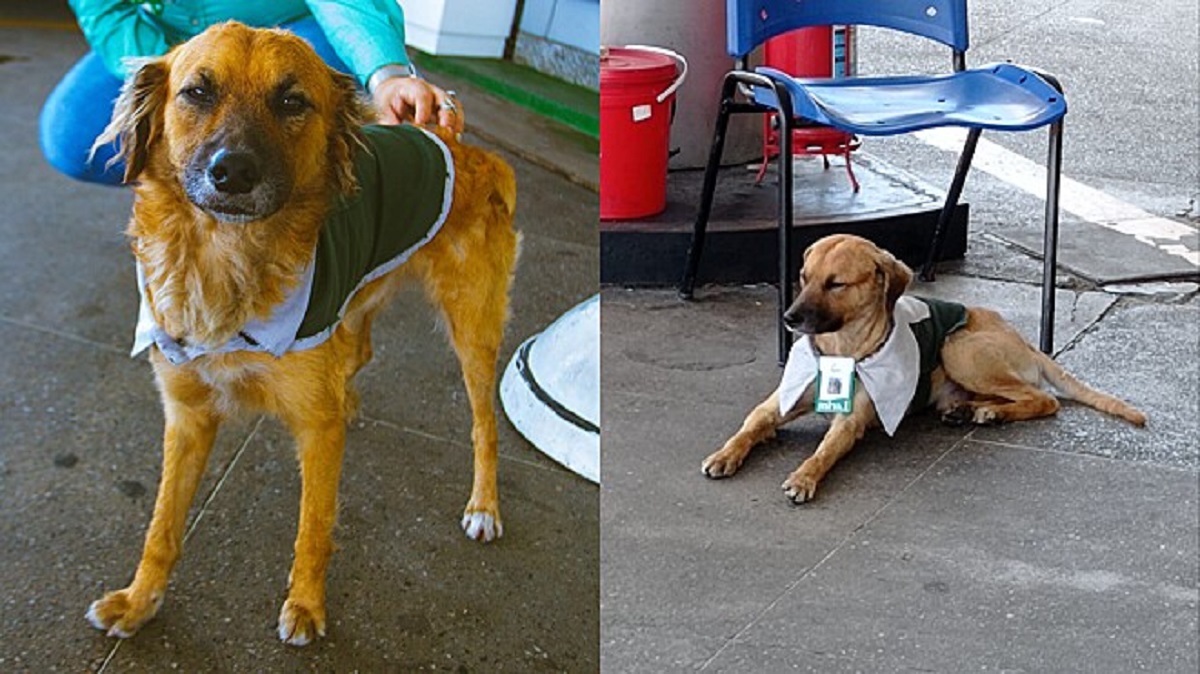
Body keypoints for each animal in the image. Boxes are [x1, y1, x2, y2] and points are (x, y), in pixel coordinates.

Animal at [83, 23, 516, 642]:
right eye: (197, 93)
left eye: (291, 101)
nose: (232, 172)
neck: (224, 261)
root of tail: (468, 150)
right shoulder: (187, 414)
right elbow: (162, 525)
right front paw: (140, 600)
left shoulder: (314, 426)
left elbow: (314, 526)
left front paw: (308, 605)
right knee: (362, 349)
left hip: (473, 331)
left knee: (485, 426)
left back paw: (484, 506)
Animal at [700, 233, 1142, 501]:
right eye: (804, 276)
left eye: (836, 283)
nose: (790, 318)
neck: (839, 349)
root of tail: (1026, 342)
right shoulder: (777, 401)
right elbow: (751, 426)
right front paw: (726, 453)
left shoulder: (851, 421)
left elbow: (824, 451)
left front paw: (804, 476)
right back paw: (970, 409)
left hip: (959, 349)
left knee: (1042, 399)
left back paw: (991, 412)